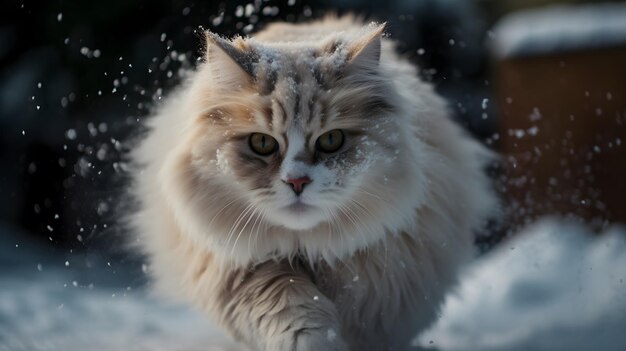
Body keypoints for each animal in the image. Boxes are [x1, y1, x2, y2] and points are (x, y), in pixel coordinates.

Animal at [130, 15, 498, 350]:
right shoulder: (249, 273)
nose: (297, 181)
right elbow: (298, 317)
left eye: (331, 140)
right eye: (261, 144)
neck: (309, 249)